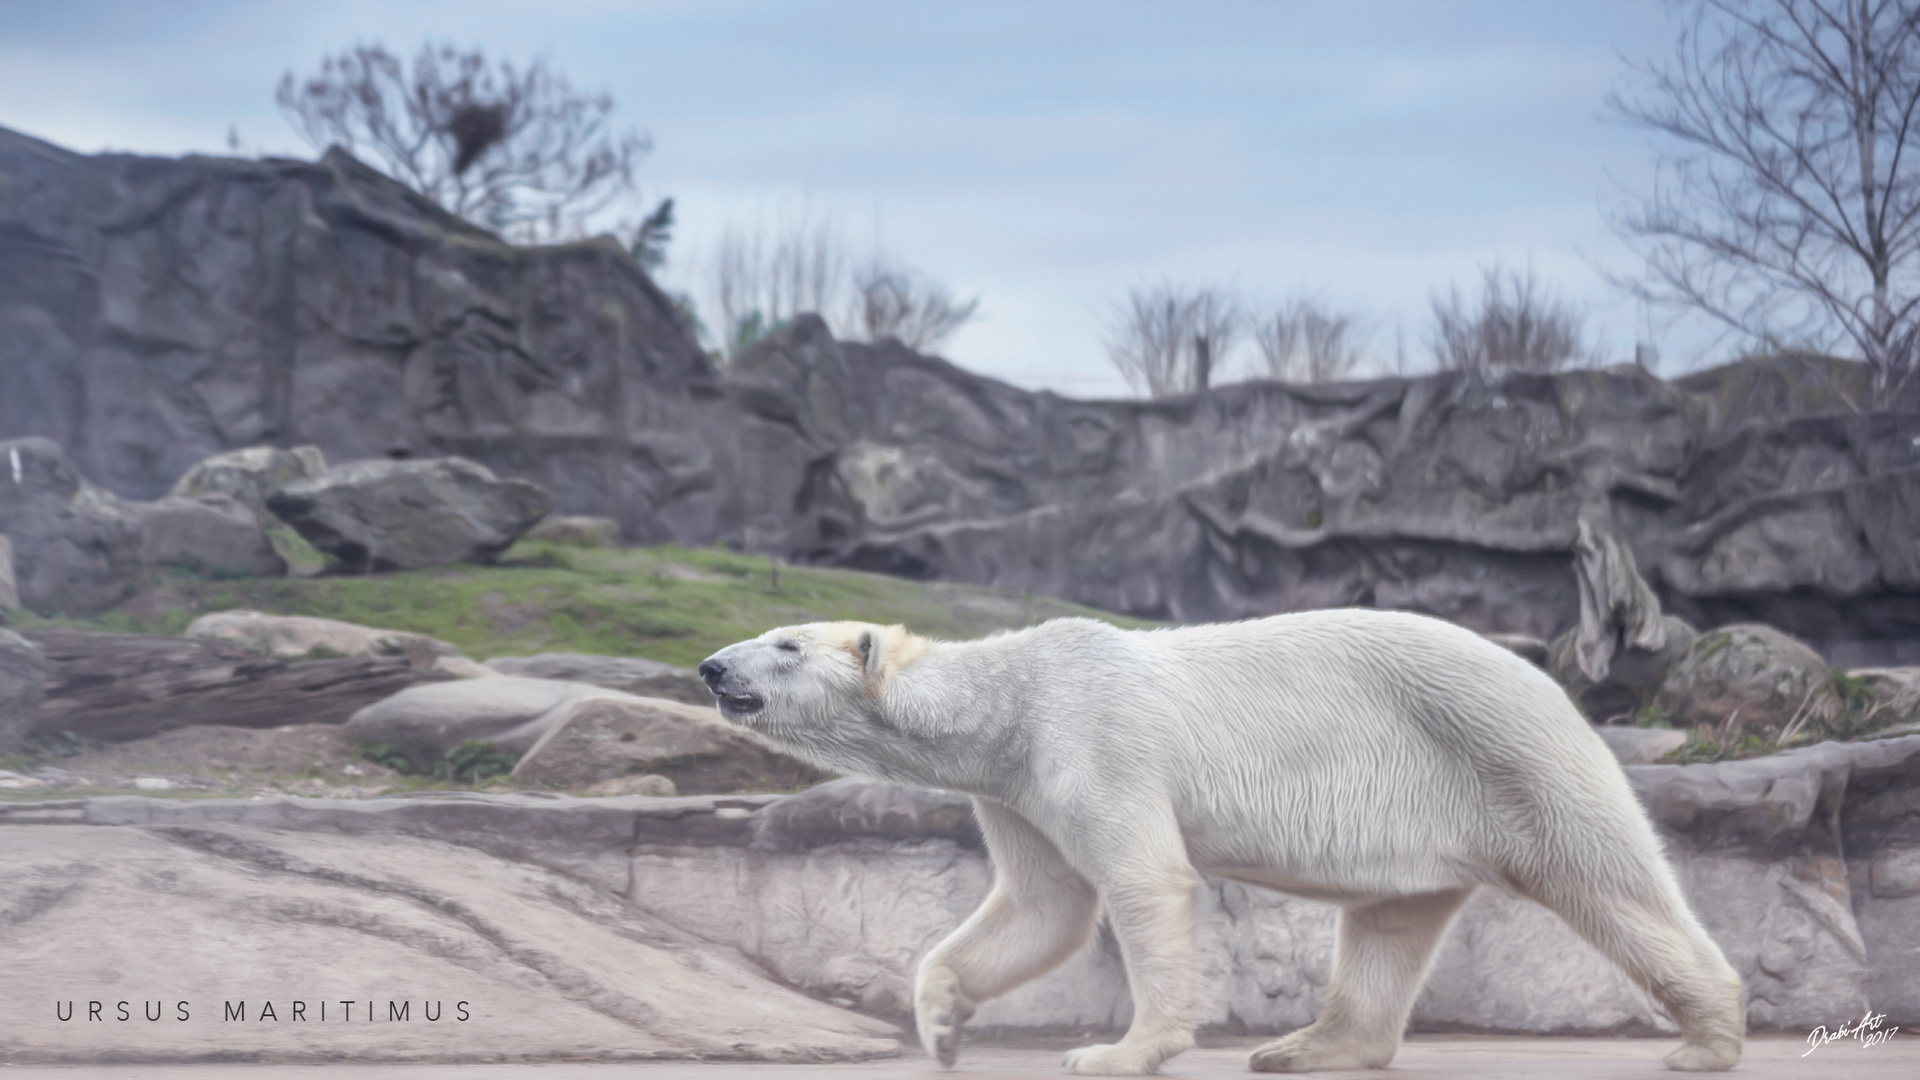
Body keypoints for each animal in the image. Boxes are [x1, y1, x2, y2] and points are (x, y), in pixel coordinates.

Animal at [698, 611, 1751, 1068]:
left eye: (786, 644)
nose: (710, 666)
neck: (1010, 698)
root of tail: (1552, 681)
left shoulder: (1093, 737)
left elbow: (1142, 883)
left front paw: (1116, 1052)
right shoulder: (1018, 787)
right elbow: (1042, 907)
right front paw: (943, 1026)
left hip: (1502, 754)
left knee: (1606, 879)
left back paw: (1706, 1041)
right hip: (1434, 799)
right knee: (1392, 919)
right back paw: (1307, 1046)